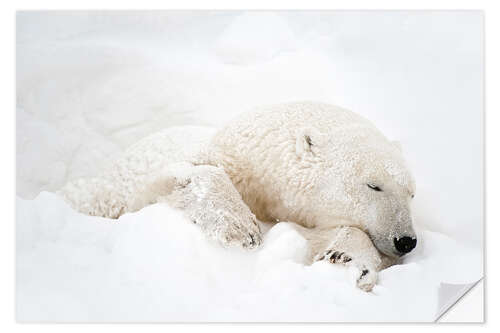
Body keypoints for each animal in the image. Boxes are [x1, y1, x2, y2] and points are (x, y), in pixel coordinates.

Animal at [58, 100, 418, 290]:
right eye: (374, 185)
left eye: (411, 194)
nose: (406, 241)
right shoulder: (225, 159)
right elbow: (188, 172)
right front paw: (240, 228)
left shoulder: (296, 215)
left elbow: (325, 235)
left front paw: (348, 261)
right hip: (107, 187)